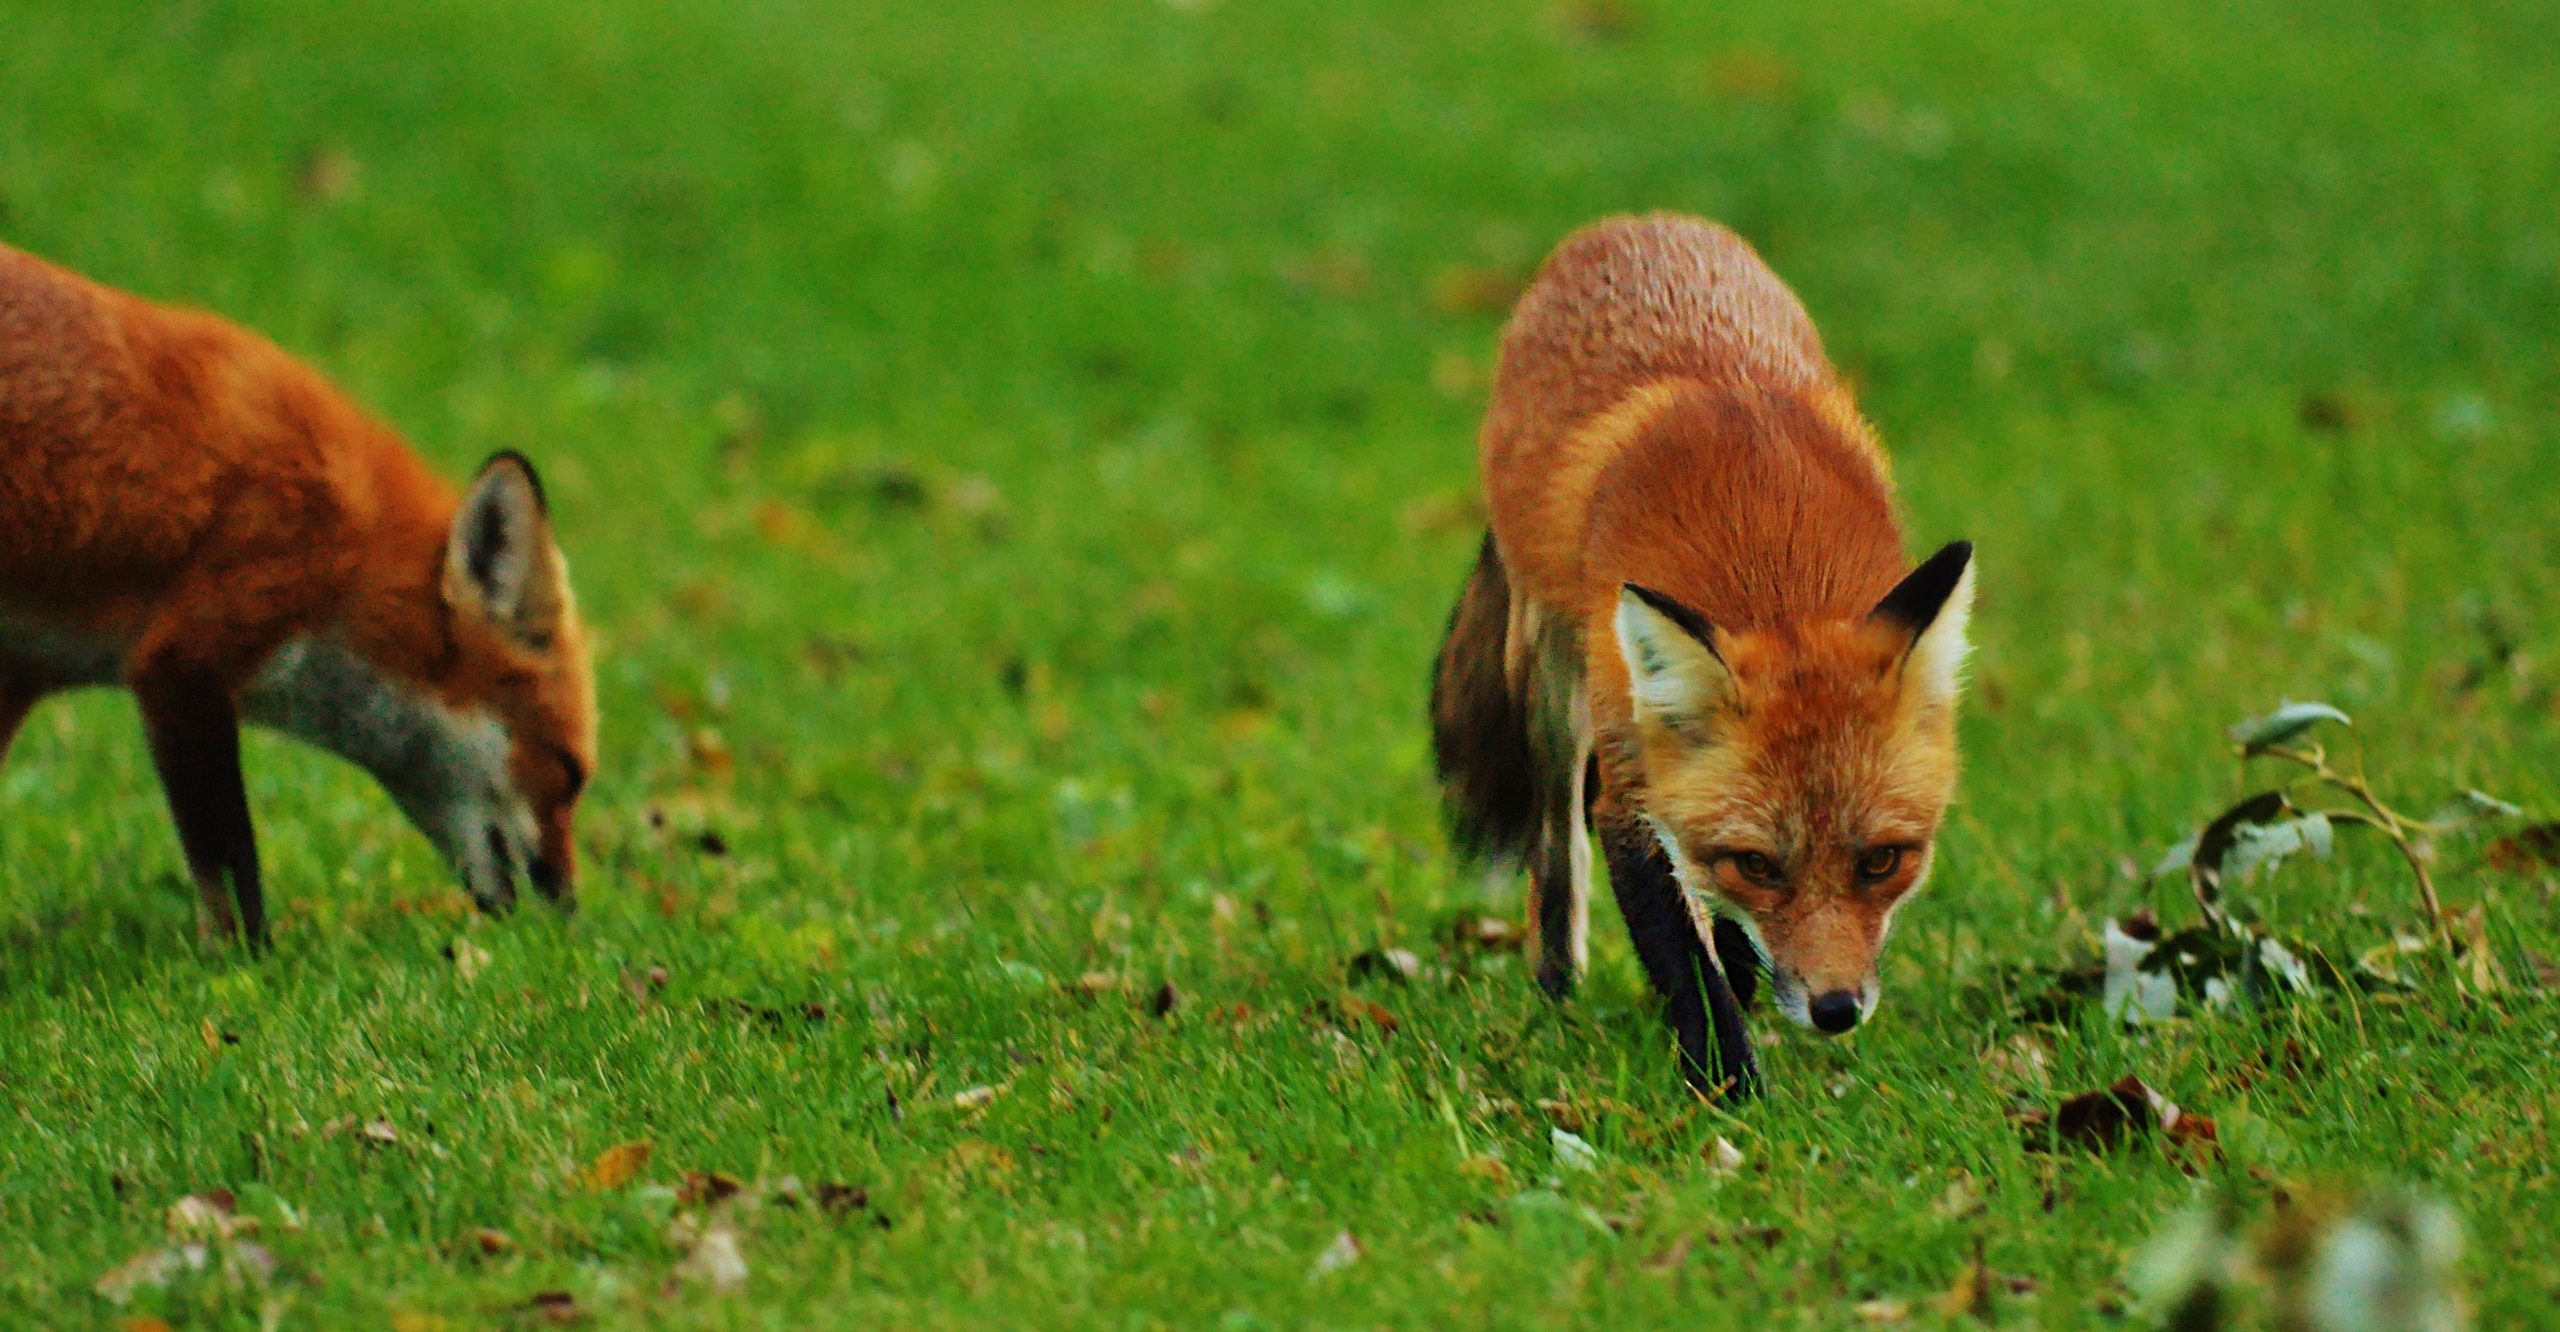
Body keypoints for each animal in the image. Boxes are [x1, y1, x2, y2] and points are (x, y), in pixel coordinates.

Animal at [0, 241, 597, 945]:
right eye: (568, 774)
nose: (571, 917)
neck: (351, 555)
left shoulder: (20, 671)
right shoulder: (183, 662)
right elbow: (231, 867)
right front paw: (248, 959)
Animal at [1431, 214, 1974, 1099]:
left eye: (1883, 860)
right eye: (1759, 864)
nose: (1834, 1010)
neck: (1766, 557)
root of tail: (1633, 223)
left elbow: (1712, 923)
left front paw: (1740, 1002)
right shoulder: (1631, 780)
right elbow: (1681, 953)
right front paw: (1730, 1086)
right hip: (1553, 686)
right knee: (1557, 848)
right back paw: (1558, 991)